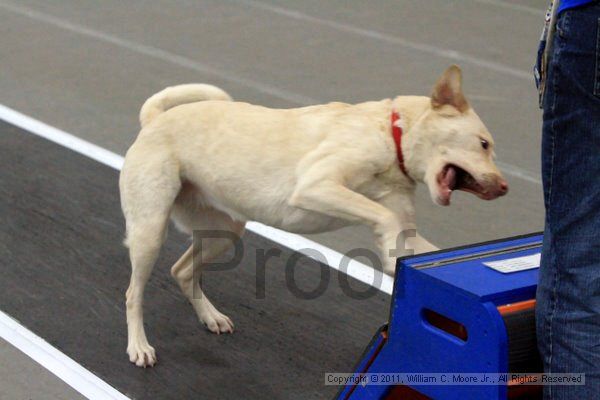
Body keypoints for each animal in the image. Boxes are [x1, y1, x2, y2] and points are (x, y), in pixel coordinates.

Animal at [119, 65, 508, 366]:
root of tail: (154, 120)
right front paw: (386, 254)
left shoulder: (402, 222)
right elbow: (382, 216)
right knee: (133, 293)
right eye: (484, 144)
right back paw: (139, 347)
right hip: (150, 232)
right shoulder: (315, 185)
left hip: (225, 231)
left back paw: (211, 317)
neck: (392, 133)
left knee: (182, 271)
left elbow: (420, 245)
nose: (504, 187)